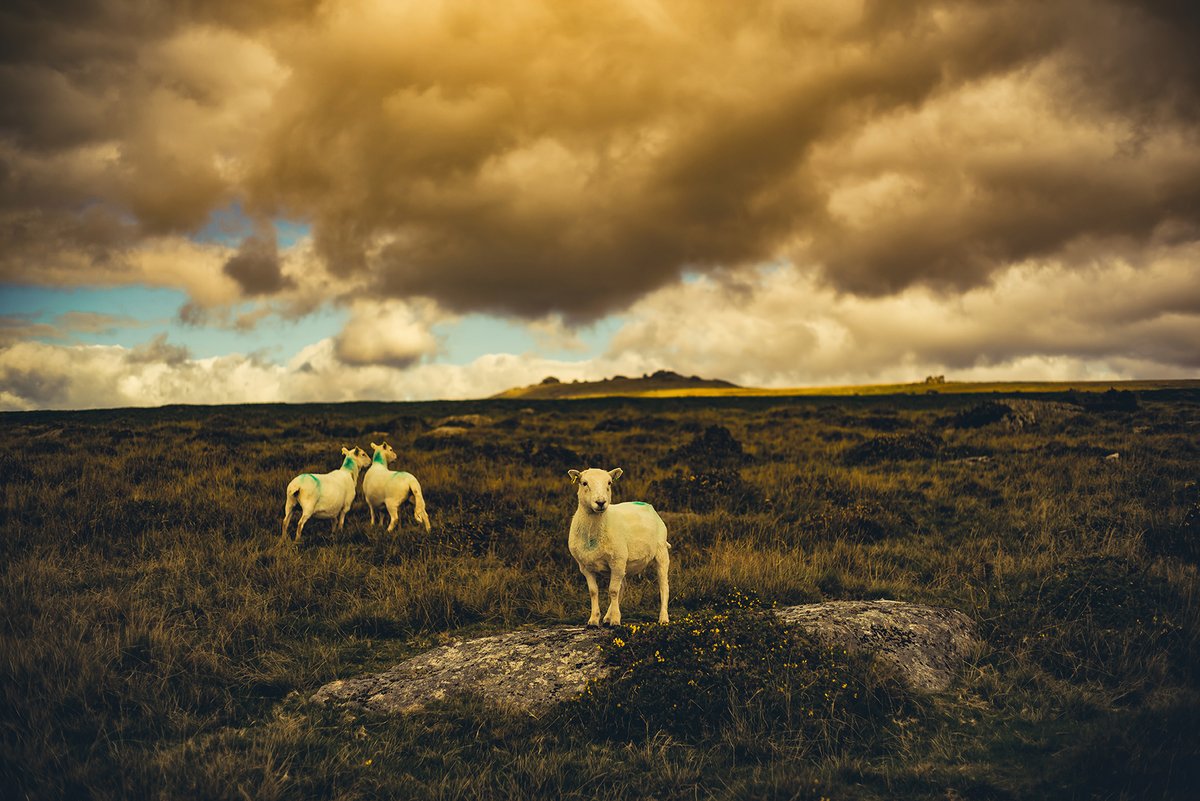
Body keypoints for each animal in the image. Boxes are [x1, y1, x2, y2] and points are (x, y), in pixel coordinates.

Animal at [567, 467, 670, 627]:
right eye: (584, 483)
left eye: (609, 483)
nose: (601, 502)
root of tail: (647, 505)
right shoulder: (585, 566)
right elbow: (594, 591)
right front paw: (594, 620)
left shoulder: (617, 562)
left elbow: (613, 591)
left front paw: (615, 620)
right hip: (624, 563)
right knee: (623, 587)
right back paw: (607, 617)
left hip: (661, 552)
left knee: (664, 586)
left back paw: (663, 618)